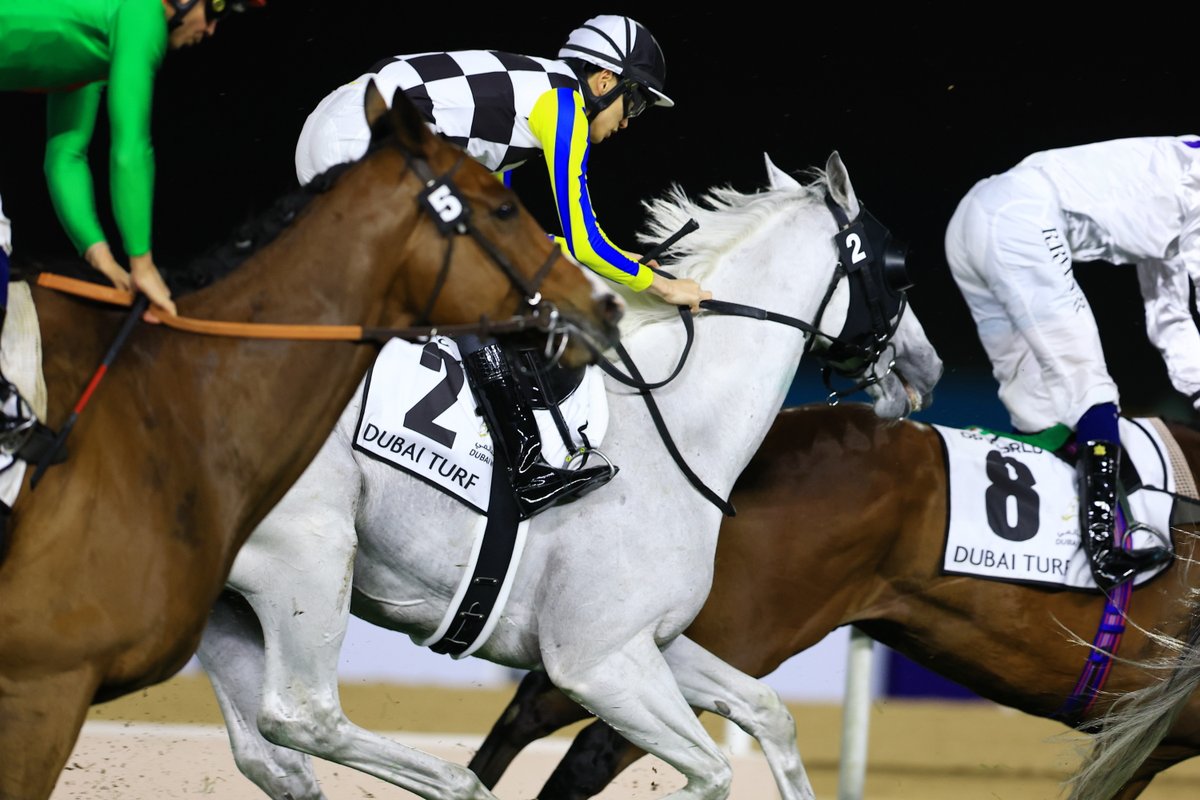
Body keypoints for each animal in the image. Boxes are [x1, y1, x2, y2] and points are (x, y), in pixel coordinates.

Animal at [0, 79, 620, 800]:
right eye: (500, 209)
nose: (604, 306)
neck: (175, 397)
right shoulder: (44, 682)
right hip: (310, 557)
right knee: (302, 715)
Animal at [192, 150, 944, 800]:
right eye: (901, 273)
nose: (927, 364)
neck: (679, 429)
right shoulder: (597, 664)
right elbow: (711, 773)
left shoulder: (648, 641)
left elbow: (768, 714)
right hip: (309, 562)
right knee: (301, 716)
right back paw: (460, 786)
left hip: (230, 605)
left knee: (270, 756)